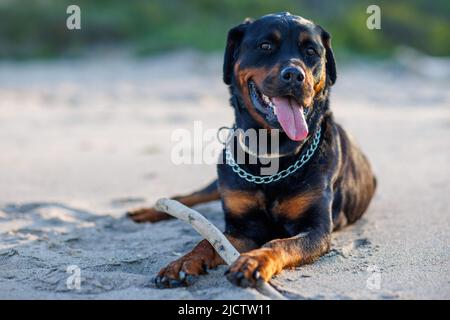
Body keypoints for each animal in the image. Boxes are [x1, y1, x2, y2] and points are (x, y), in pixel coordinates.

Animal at [126, 12, 376, 288]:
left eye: (311, 51)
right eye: (265, 46)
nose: (294, 75)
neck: (272, 151)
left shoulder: (315, 229)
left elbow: (279, 243)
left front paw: (254, 261)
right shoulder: (243, 227)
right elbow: (207, 241)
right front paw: (181, 263)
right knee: (193, 196)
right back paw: (148, 211)